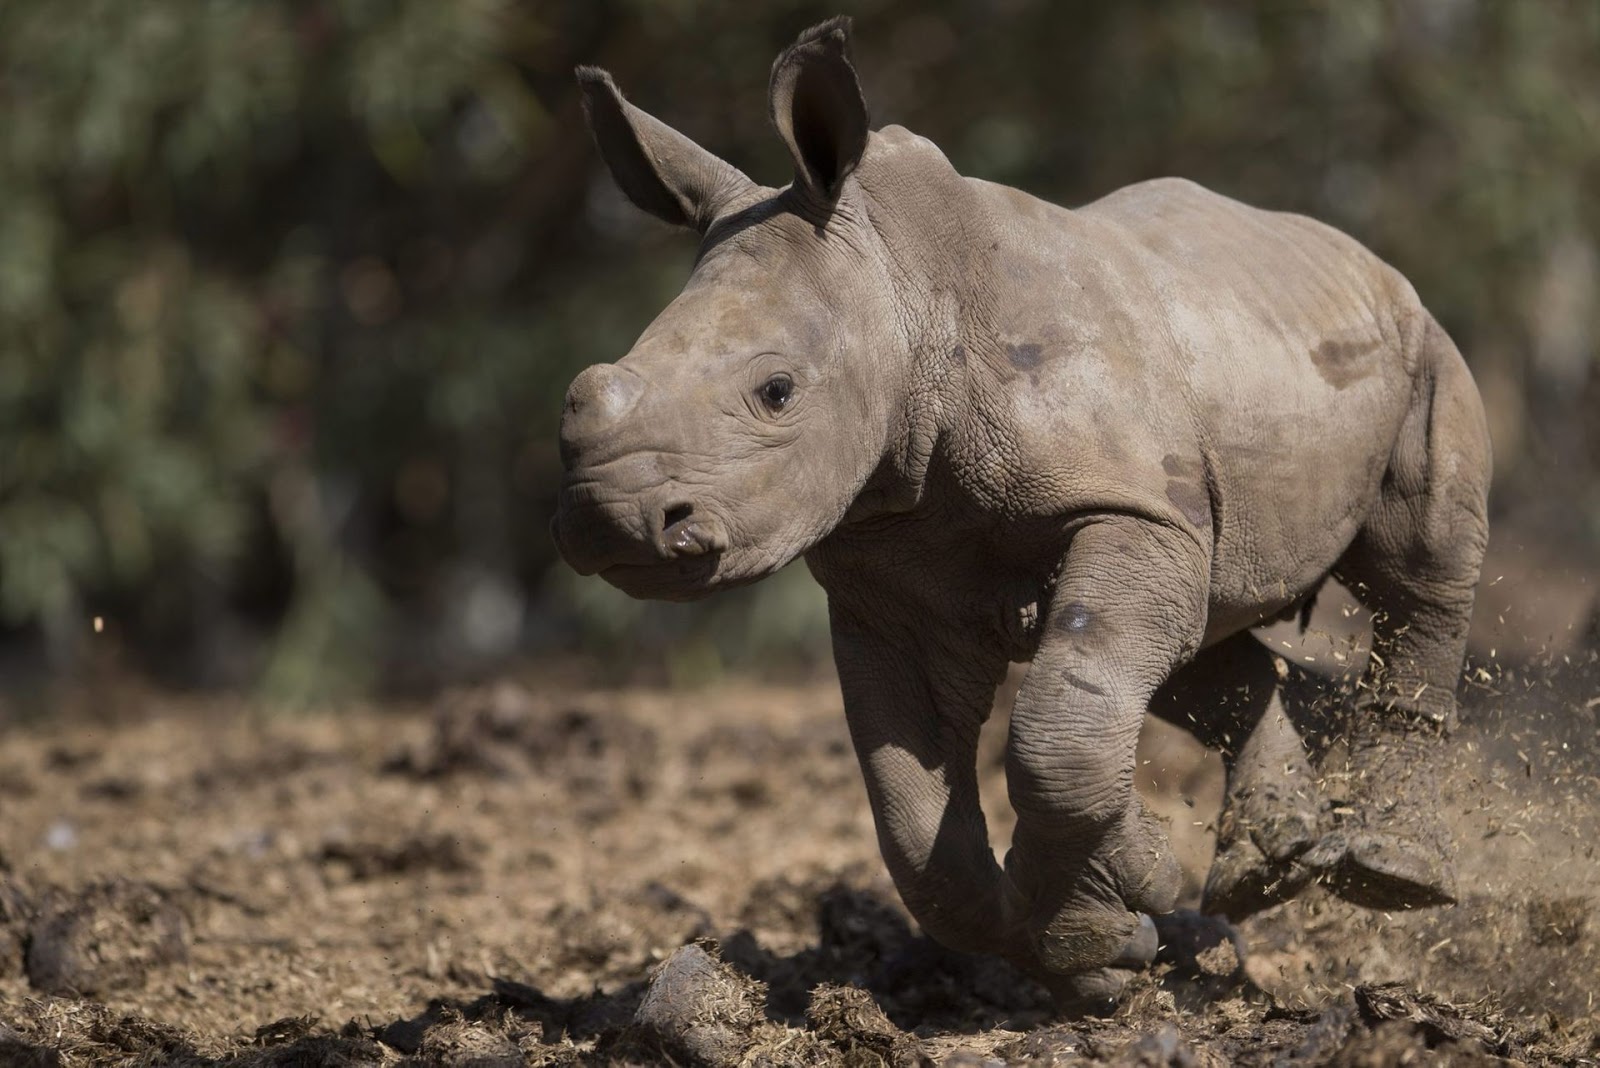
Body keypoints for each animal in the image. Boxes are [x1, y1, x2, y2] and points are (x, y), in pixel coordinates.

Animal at [552, 18, 1491, 1011]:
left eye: (776, 392)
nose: (611, 519)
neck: (904, 296)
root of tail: (1362, 256)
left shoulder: (1122, 505)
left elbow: (1052, 742)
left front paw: (1122, 901)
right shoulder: (886, 576)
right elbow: (915, 815)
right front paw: (1104, 943)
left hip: (1419, 343)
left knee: (1416, 570)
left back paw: (1394, 874)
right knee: (1197, 639)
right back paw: (1266, 870)